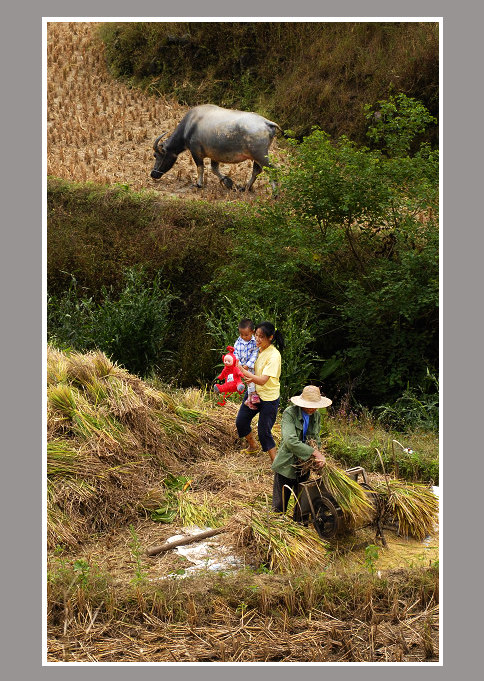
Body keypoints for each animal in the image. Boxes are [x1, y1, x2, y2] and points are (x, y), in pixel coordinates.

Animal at [150, 103, 280, 190]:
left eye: (156, 155)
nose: (153, 174)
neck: (190, 125)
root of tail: (267, 123)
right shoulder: (214, 155)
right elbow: (214, 169)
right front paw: (228, 182)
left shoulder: (195, 152)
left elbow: (200, 168)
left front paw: (198, 184)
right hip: (257, 157)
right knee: (256, 171)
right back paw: (245, 187)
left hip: (260, 156)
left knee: (272, 170)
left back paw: (275, 193)